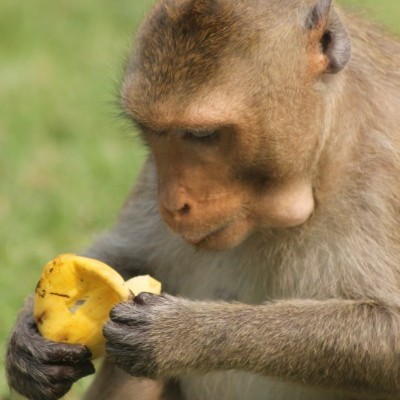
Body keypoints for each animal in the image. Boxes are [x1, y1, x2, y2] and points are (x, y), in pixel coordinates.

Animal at [5, 0, 400, 398]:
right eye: (153, 132)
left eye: (202, 134)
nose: (171, 206)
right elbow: (129, 259)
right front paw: (26, 341)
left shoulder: (382, 170)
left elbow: (391, 332)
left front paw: (181, 332)